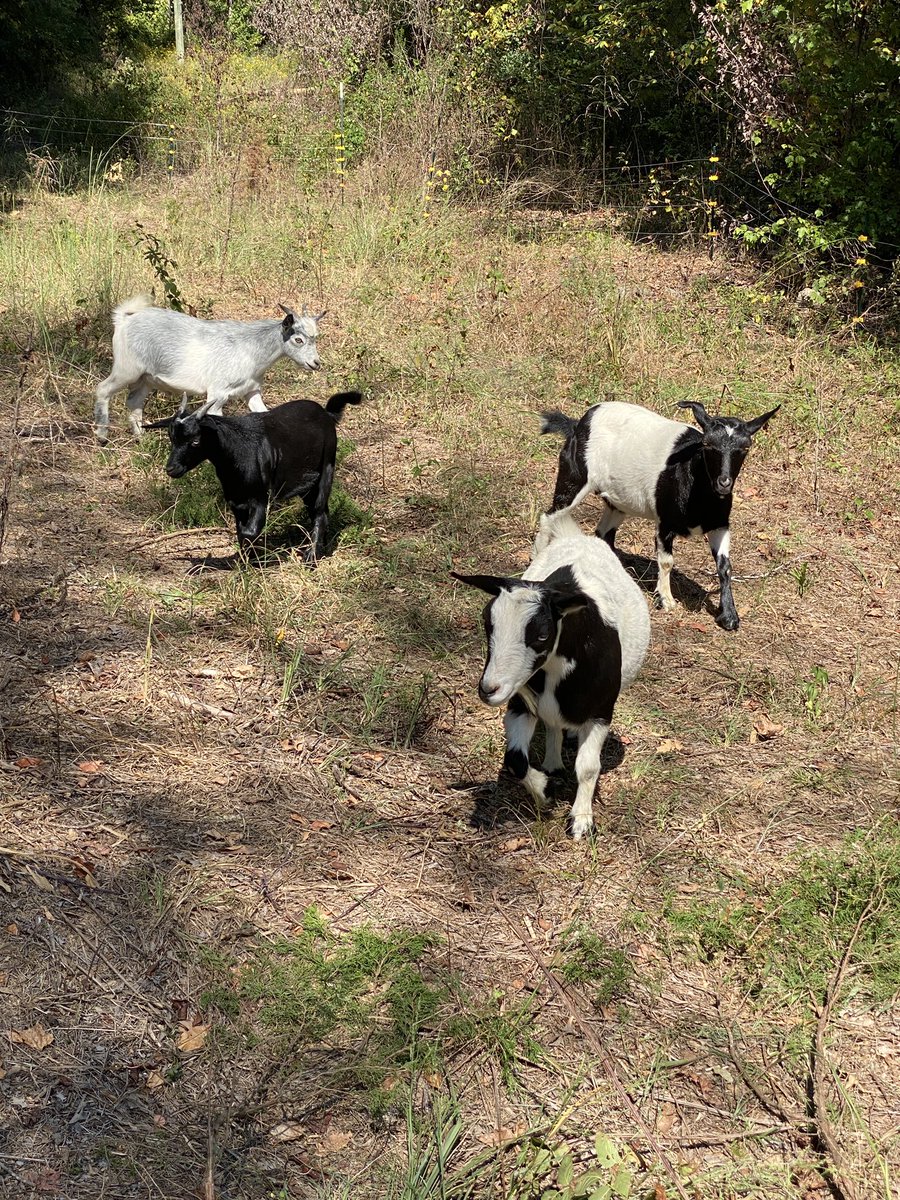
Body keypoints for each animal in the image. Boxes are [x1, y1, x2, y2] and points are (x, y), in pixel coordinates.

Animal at [94, 295, 325, 442]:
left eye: (316, 338)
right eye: (298, 339)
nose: (315, 363)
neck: (251, 349)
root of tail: (124, 319)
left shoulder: (251, 391)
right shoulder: (218, 394)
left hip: (146, 378)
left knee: (134, 402)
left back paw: (140, 439)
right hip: (127, 369)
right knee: (103, 389)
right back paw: (102, 436)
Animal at [153, 391, 362, 562]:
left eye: (196, 440)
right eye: (172, 438)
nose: (171, 468)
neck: (236, 452)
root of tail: (327, 414)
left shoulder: (260, 498)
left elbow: (250, 531)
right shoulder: (236, 501)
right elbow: (241, 532)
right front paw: (248, 562)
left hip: (327, 466)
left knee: (319, 511)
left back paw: (311, 556)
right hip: (307, 482)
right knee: (319, 509)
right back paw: (321, 547)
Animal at [453, 513, 650, 839]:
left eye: (543, 635)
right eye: (487, 622)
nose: (489, 689)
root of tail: (577, 537)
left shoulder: (601, 710)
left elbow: (588, 767)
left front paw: (581, 822)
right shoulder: (520, 702)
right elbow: (515, 759)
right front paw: (545, 791)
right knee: (552, 723)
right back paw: (553, 764)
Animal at [537, 399, 779, 630]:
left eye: (745, 448)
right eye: (707, 444)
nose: (724, 483)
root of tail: (578, 424)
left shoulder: (719, 524)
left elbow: (725, 567)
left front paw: (729, 617)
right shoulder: (665, 522)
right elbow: (666, 561)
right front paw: (667, 601)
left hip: (617, 502)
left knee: (604, 532)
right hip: (575, 477)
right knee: (549, 517)